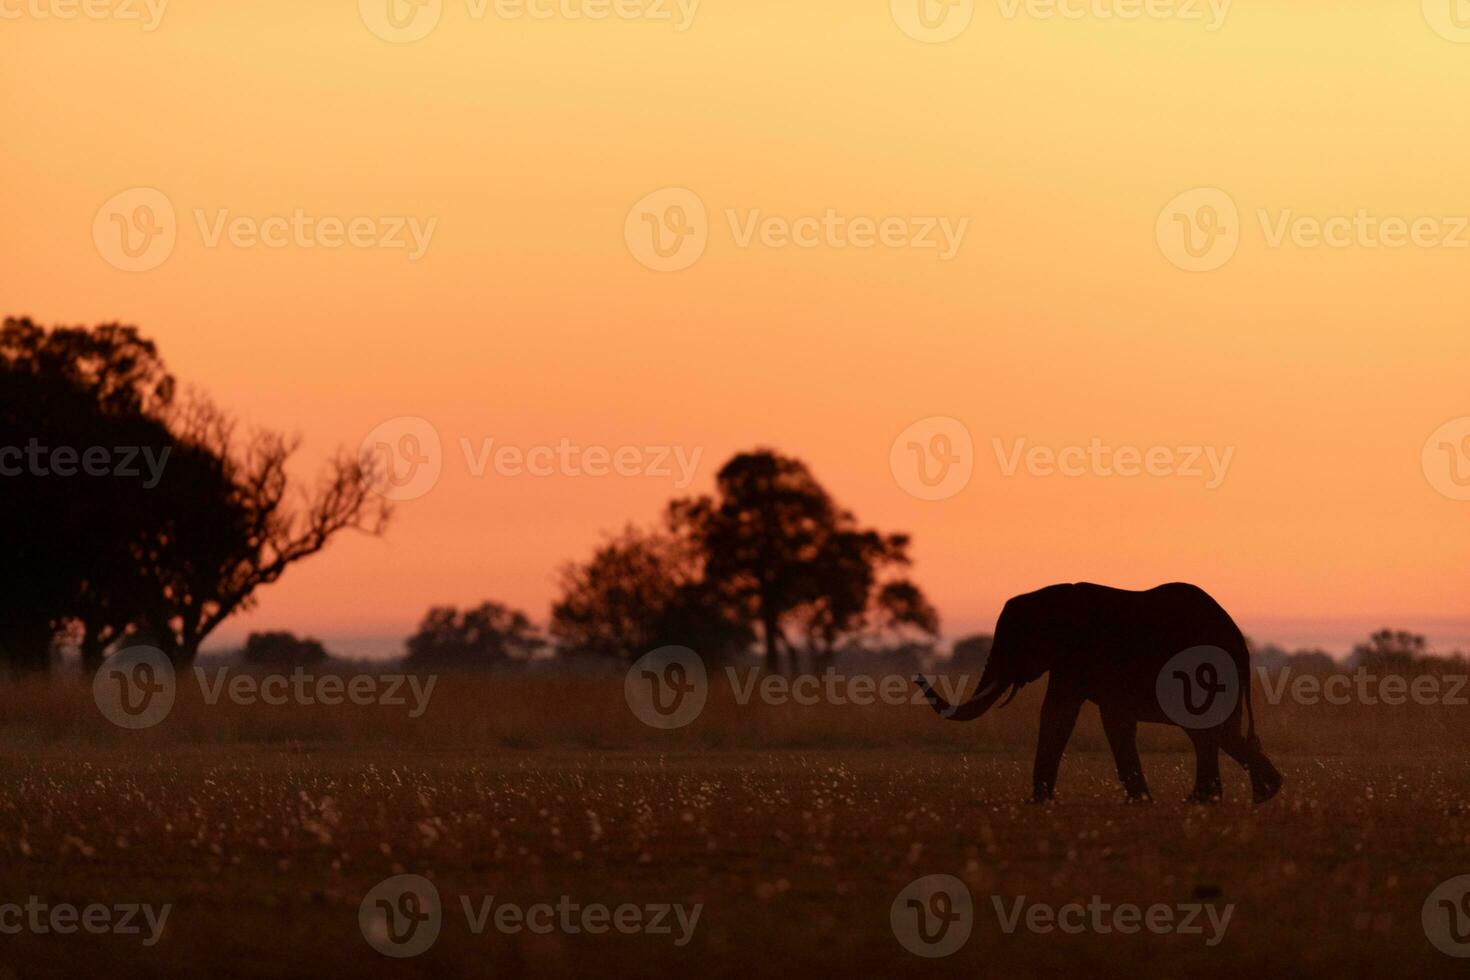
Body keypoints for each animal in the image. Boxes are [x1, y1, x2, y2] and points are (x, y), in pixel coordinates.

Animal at [911, 581, 1281, 805]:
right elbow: (1062, 714)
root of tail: (1240, 641)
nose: (916, 677)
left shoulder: (1088, 654)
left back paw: (1219, 798)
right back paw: (1248, 795)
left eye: (1014, 644)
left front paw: (1138, 802)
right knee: (1217, 733)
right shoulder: (1071, 660)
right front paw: (1040, 802)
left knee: (1207, 731)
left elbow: (1087, 716)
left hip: (1204, 672)